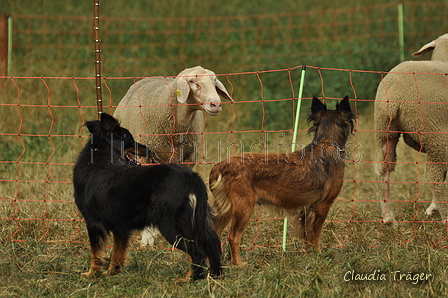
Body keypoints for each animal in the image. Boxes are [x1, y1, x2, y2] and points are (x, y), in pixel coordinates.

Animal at [114, 66, 233, 246]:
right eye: (192, 82)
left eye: (214, 81)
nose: (216, 104)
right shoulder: (147, 159)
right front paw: (147, 237)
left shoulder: (188, 159)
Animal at [374, 33, 448, 228]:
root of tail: (394, 94)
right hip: (436, 133)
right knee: (434, 175)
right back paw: (446, 217)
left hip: (384, 131)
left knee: (382, 169)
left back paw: (388, 217)